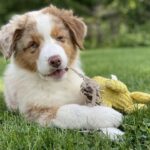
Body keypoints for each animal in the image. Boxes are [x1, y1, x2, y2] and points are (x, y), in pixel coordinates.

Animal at [0, 5, 123, 139]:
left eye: (60, 38)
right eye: (33, 44)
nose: (55, 60)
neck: (57, 84)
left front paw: (112, 132)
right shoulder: (35, 112)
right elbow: (69, 110)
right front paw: (107, 115)